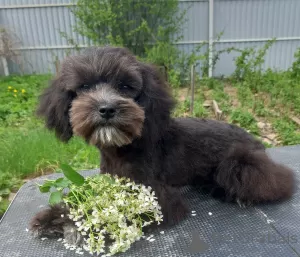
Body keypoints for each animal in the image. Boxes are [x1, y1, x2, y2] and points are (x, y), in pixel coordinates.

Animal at [29, 45, 294, 238]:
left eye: (125, 86)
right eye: (84, 86)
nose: (106, 109)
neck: (124, 148)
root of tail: (257, 141)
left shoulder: (157, 200)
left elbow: (112, 211)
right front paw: (54, 216)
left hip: (240, 163)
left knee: (274, 184)